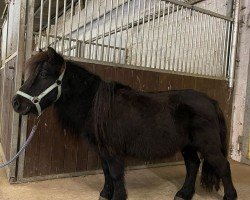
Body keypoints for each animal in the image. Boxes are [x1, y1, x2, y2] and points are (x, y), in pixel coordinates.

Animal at [12, 47, 236, 200]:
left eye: (43, 74)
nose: (16, 103)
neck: (95, 105)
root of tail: (211, 101)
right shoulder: (102, 150)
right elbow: (106, 172)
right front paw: (105, 193)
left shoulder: (113, 150)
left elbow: (116, 173)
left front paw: (118, 196)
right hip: (188, 145)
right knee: (192, 165)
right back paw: (183, 193)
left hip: (208, 146)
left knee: (222, 166)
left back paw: (229, 195)